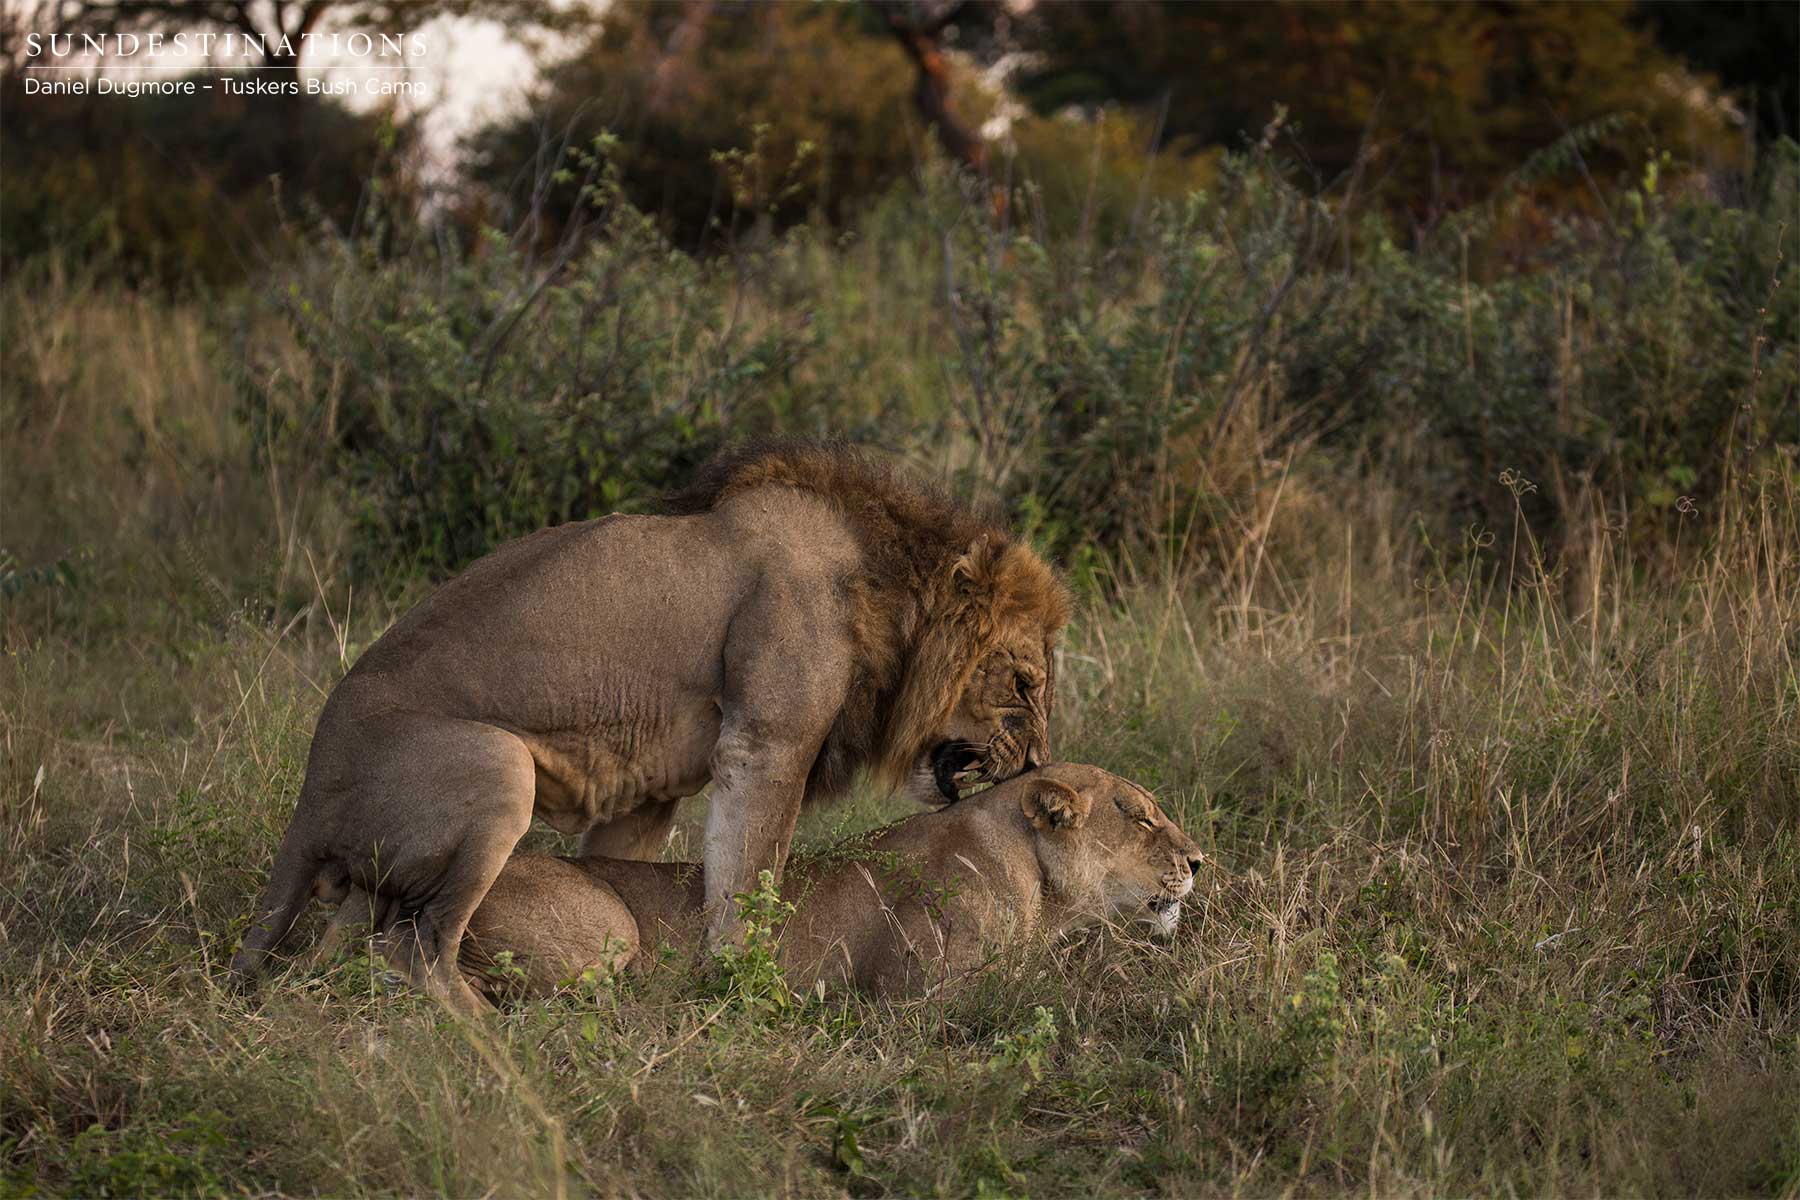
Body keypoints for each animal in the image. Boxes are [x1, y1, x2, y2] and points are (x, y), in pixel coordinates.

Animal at [231, 440, 1070, 1011]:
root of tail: (310, 795)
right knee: (418, 948)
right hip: (500, 764)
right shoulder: (767, 745)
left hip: (375, 876)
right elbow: (750, 881)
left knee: (348, 950)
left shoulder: (647, 793)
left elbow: (634, 870)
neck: (884, 586)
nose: (1037, 760)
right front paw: (746, 990)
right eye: (1024, 683)